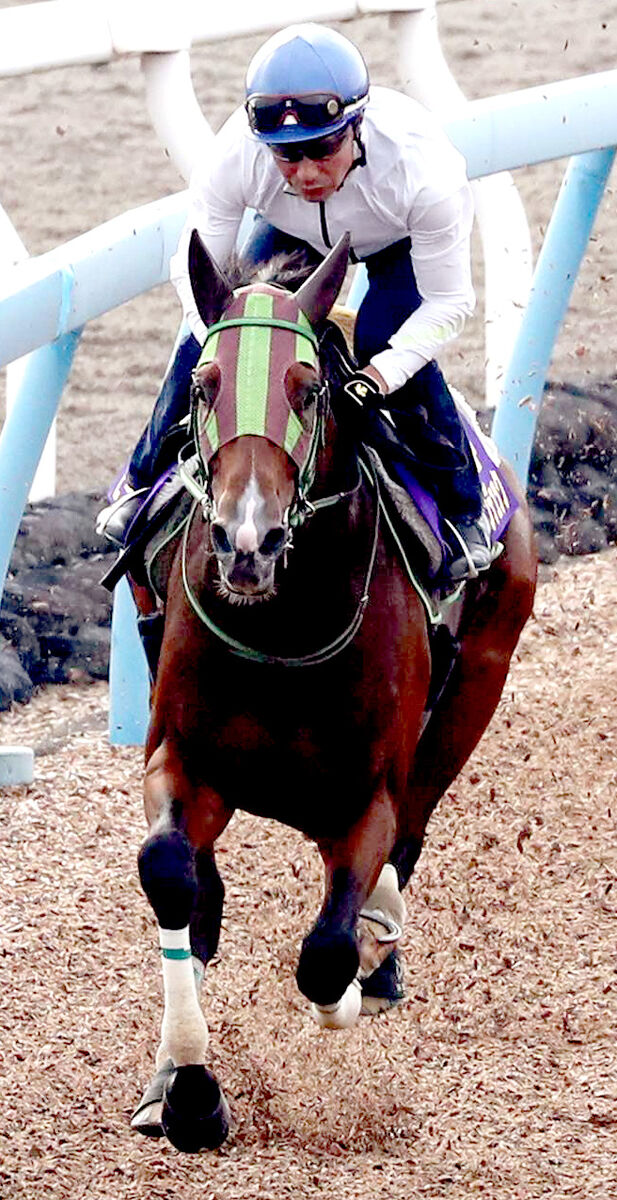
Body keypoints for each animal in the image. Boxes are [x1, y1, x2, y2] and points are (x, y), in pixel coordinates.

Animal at [127, 226, 535, 1152]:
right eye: (203, 385)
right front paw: (186, 1089)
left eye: (309, 390)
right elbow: (168, 872)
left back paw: (378, 950)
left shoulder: (364, 798)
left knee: (410, 836)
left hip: (475, 687)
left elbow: (325, 957)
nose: (247, 541)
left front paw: (359, 971)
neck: (286, 630)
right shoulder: (183, 760)